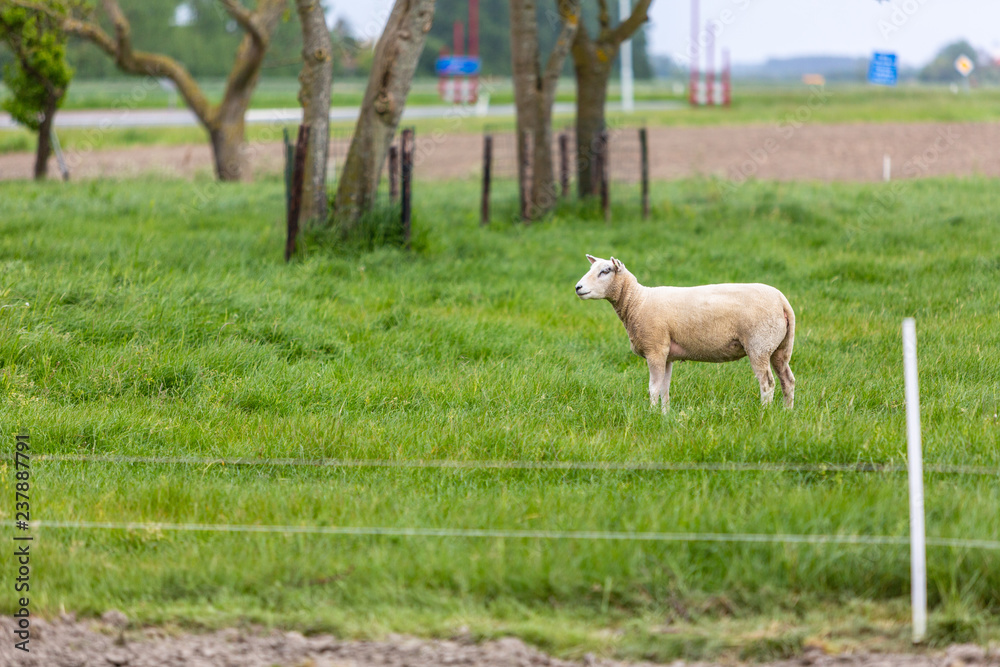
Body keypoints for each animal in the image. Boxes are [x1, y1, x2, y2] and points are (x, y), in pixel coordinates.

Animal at [575, 254, 795, 412]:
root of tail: (782, 301)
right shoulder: (667, 355)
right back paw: (787, 413)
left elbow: (653, 388)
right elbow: (664, 389)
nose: (578, 287)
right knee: (788, 380)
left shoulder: (655, 349)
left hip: (759, 345)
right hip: (779, 348)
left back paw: (764, 413)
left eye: (605, 271)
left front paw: (650, 415)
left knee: (767, 383)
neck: (637, 301)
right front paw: (664, 415)